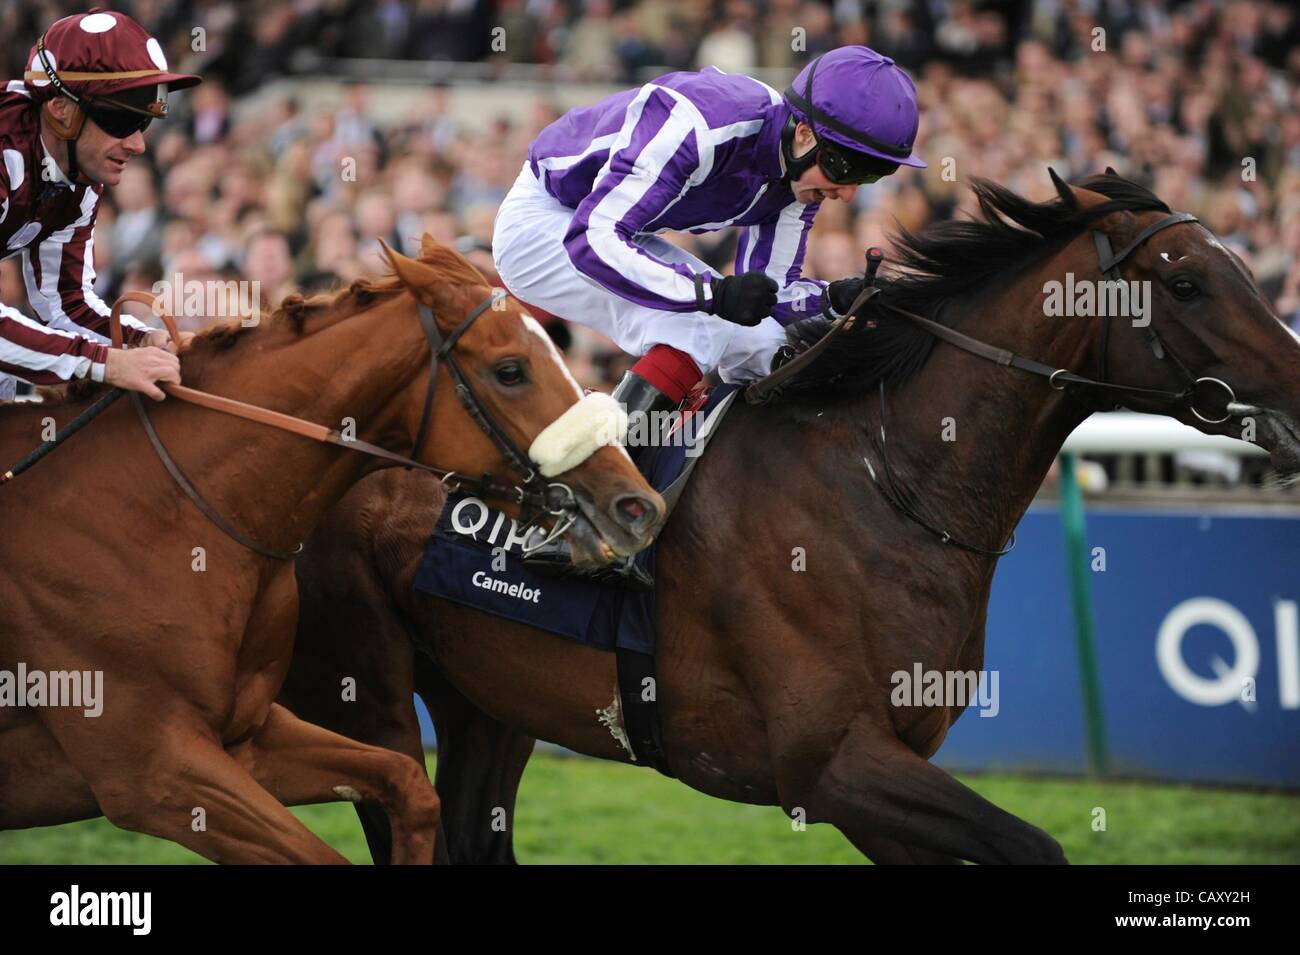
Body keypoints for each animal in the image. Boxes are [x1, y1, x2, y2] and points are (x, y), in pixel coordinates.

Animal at [0, 235, 665, 862]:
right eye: (510, 370)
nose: (637, 505)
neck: (155, 511)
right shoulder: (154, 771)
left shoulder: (246, 739)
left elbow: (409, 788)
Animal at [282, 174, 1300, 867]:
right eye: (1188, 284)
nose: (1295, 389)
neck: (883, 483)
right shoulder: (835, 765)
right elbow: (1035, 845)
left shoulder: (884, 774)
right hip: (368, 693)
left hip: (490, 697)